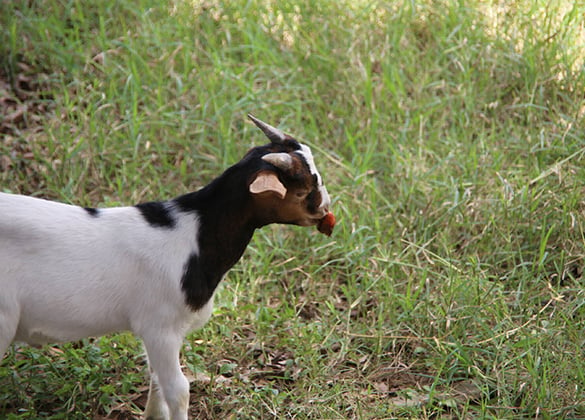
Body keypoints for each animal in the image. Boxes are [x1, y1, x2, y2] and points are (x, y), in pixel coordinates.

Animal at [0, 115, 334, 420]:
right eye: (304, 188)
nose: (327, 210)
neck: (193, 235)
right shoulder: (160, 327)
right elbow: (178, 389)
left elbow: (156, 380)